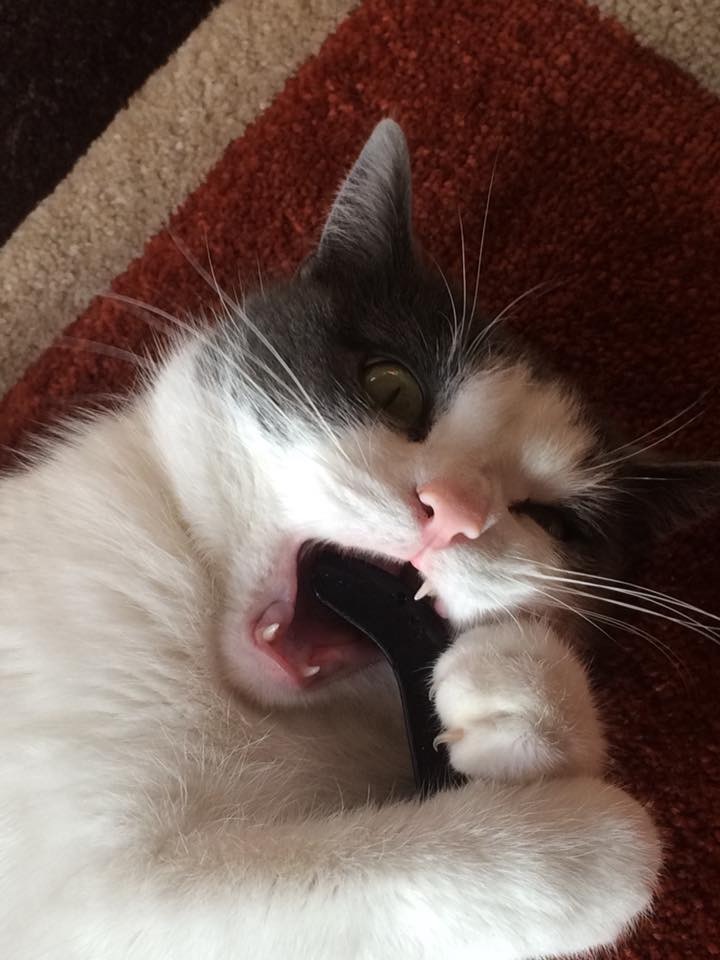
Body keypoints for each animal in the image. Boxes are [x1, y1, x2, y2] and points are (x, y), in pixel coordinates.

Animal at [2, 119, 718, 960]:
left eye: (554, 521)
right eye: (390, 386)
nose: (453, 512)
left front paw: (532, 700)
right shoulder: (90, 891)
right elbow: (263, 892)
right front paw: (577, 852)